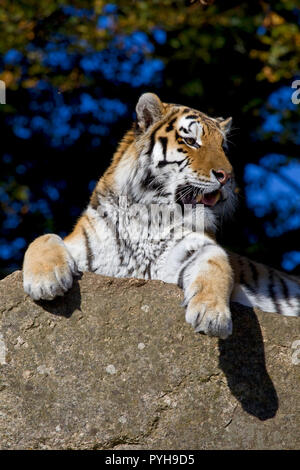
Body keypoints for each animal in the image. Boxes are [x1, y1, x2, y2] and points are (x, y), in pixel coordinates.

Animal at [22, 93, 300, 340]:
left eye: (222, 148)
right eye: (191, 141)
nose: (227, 177)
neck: (146, 215)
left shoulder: (193, 249)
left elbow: (216, 263)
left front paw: (212, 316)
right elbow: (43, 238)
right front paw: (45, 283)